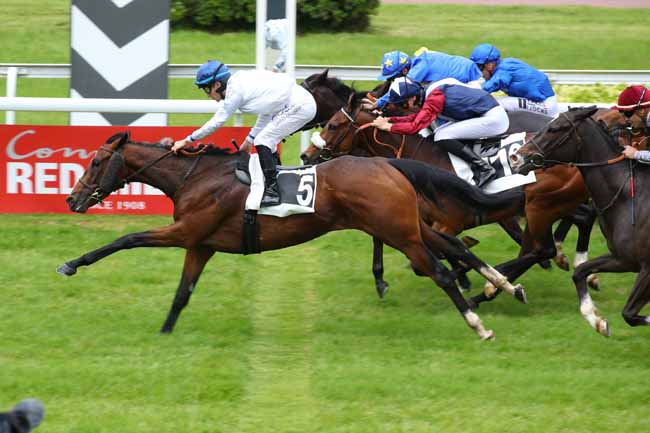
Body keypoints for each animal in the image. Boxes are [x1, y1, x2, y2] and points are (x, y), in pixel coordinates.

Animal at [55, 130, 524, 340]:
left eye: (95, 162)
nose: (72, 200)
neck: (195, 178)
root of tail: (387, 162)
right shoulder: (201, 245)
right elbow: (182, 293)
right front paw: (165, 333)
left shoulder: (185, 231)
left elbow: (127, 239)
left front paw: (72, 264)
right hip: (407, 225)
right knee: (454, 245)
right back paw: (503, 284)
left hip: (397, 231)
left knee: (441, 271)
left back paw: (479, 324)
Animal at [302, 97, 596, 308]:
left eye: (333, 125)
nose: (306, 155)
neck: (422, 156)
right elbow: (388, 240)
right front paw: (381, 280)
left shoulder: (446, 221)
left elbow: (439, 253)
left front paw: (465, 272)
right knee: (580, 219)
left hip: (541, 205)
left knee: (550, 239)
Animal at [512, 106, 648, 336]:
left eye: (555, 128)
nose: (515, 158)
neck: (630, 196)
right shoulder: (622, 259)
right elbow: (579, 272)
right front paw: (597, 320)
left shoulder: (645, 267)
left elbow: (629, 313)